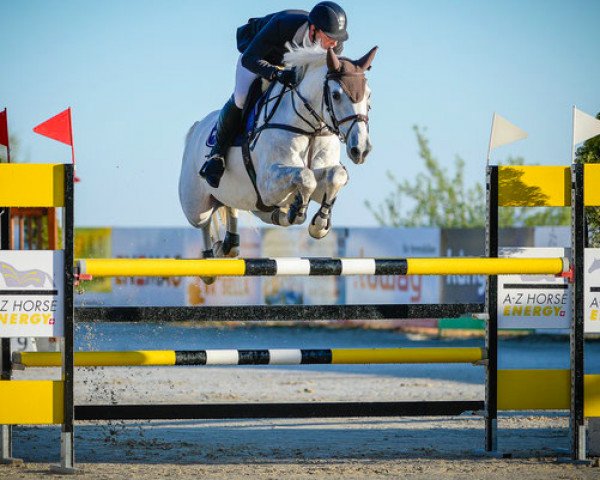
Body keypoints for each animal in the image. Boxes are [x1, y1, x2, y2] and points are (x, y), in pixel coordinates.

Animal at [176, 46, 378, 272]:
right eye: (335, 95)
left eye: (369, 95)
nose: (361, 149)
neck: (311, 130)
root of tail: (197, 127)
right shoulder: (267, 185)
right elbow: (305, 176)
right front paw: (298, 211)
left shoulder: (320, 180)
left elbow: (336, 175)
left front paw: (319, 225)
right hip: (196, 206)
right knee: (204, 222)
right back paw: (209, 265)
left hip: (249, 201)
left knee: (231, 205)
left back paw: (232, 243)